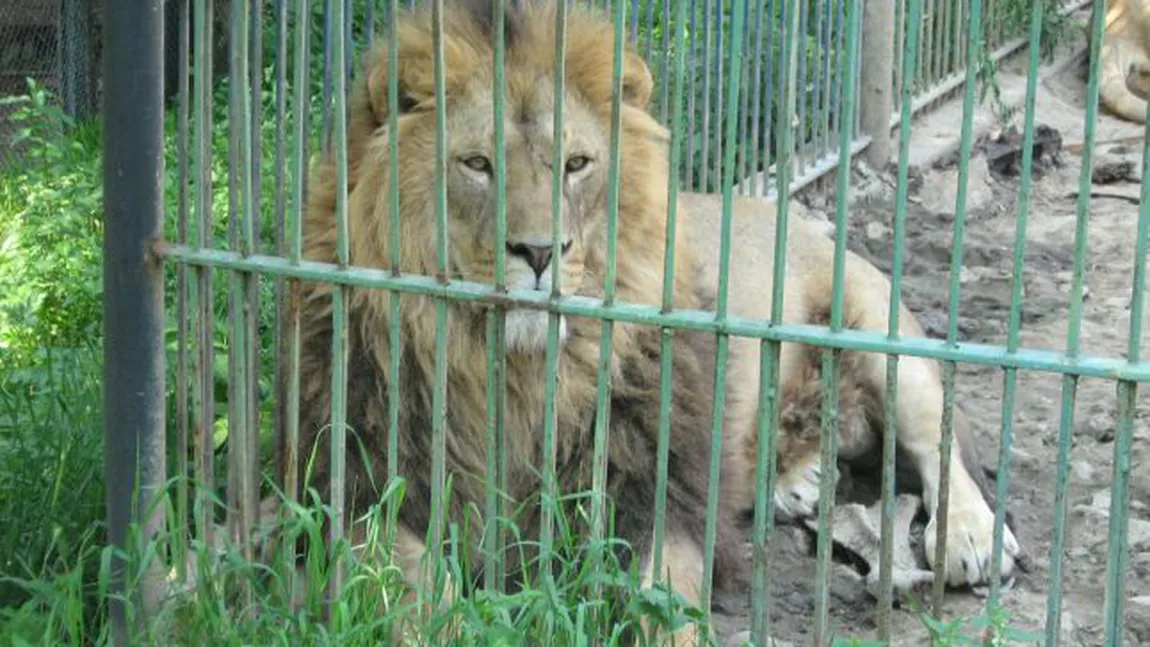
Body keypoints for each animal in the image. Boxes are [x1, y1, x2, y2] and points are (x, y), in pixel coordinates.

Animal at [282, 0, 1021, 638]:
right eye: (477, 164)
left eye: (578, 164)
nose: (540, 252)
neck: (512, 375)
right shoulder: (362, 479)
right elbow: (409, 592)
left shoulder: (656, 488)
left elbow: (662, 596)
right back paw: (794, 478)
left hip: (877, 330)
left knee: (938, 443)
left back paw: (970, 536)